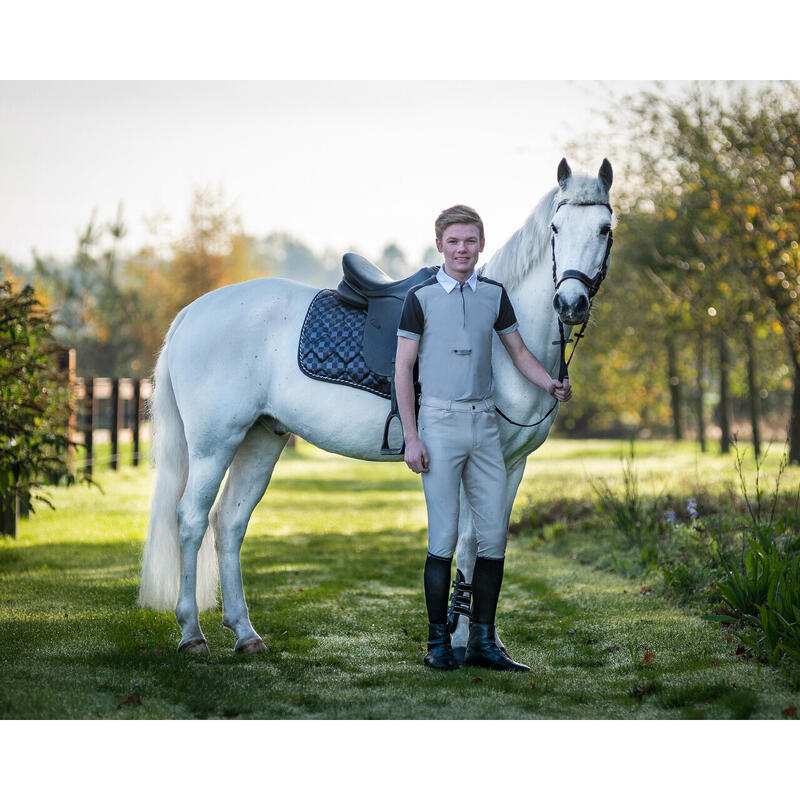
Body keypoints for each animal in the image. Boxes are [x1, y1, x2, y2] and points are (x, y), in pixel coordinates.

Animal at [139, 158, 612, 656]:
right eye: (556, 228)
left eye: (604, 228)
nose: (570, 303)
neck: (501, 340)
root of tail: (194, 311)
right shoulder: (476, 460)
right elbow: (468, 542)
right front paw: (464, 641)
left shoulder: (512, 464)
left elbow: (491, 544)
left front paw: (490, 643)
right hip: (214, 444)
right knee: (191, 520)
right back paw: (192, 633)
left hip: (260, 439)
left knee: (228, 523)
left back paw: (245, 633)